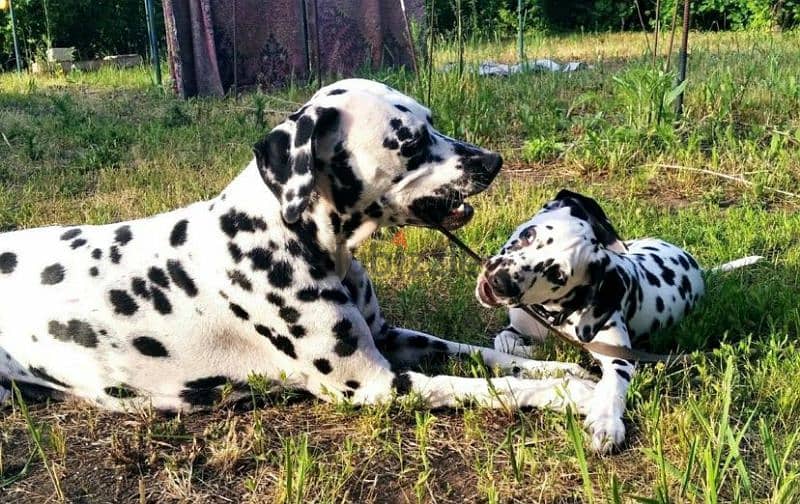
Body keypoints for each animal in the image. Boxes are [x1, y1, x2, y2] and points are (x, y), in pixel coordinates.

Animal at [0, 79, 592, 416]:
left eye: (433, 122)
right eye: (410, 141)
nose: (492, 161)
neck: (294, 236)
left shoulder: (391, 338)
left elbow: (487, 357)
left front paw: (562, 370)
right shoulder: (376, 385)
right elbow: (491, 388)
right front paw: (571, 396)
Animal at [476, 190, 764, 452]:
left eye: (557, 274)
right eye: (529, 235)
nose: (500, 281)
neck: (556, 314)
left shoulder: (618, 357)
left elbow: (612, 386)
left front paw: (606, 422)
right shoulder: (515, 327)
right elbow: (504, 342)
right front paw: (537, 353)